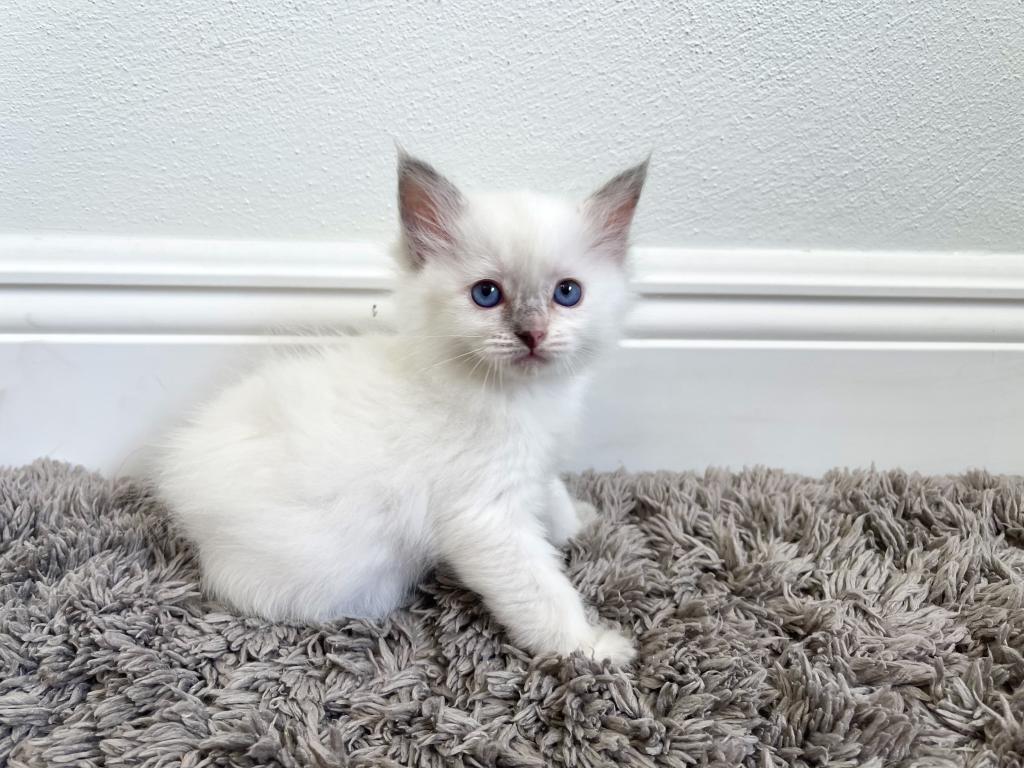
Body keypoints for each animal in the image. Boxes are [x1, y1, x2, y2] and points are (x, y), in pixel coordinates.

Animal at [153, 151, 647, 667]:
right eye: (486, 294)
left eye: (567, 293)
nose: (531, 334)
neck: (523, 397)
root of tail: (180, 484)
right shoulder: (486, 519)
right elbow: (543, 592)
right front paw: (591, 650)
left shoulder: (537, 467)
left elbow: (555, 500)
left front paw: (582, 523)